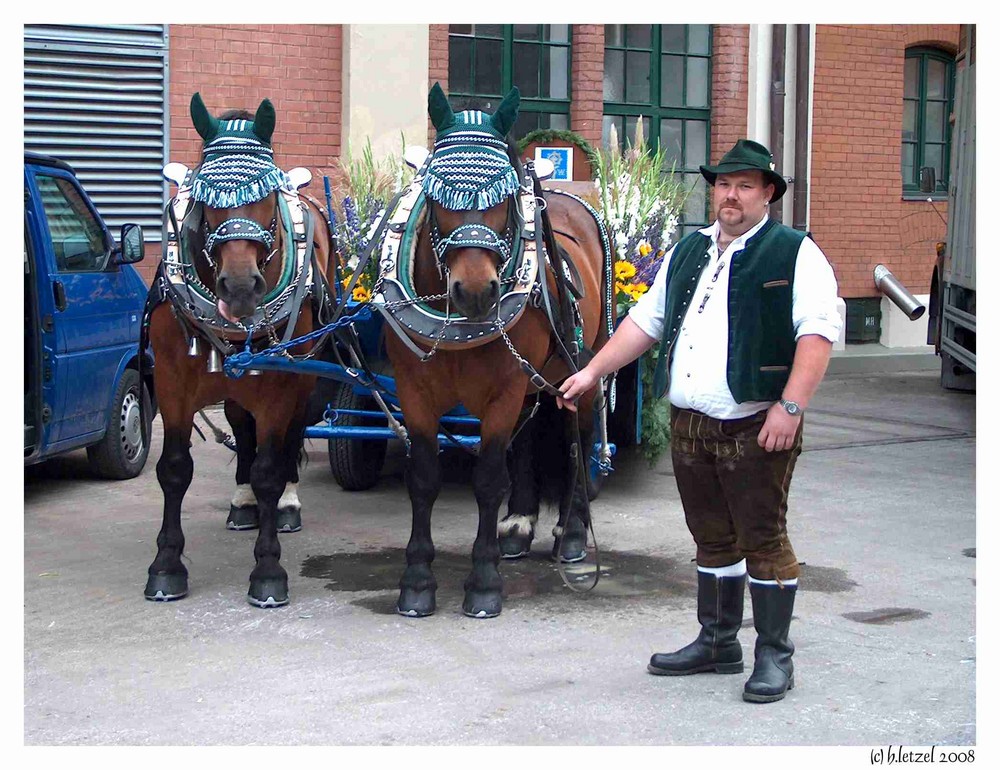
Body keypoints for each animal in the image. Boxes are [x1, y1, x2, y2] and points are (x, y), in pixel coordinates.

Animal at [145, 97, 334, 608]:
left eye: (266, 197)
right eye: (206, 199)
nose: (242, 287)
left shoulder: (279, 383)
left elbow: (270, 467)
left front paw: (267, 571)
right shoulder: (171, 383)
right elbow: (174, 469)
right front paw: (166, 566)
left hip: (304, 375)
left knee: (290, 435)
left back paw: (285, 504)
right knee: (239, 424)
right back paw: (243, 501)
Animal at [384, 84, 608, 616]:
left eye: (505, 197)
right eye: (438, 192)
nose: (475, 290)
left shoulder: (502, 391)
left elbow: (487, 477)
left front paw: (483, 582)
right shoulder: (414, 391)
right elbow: (423, 476)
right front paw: (417, 581)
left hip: (583, 369)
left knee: (579, 437)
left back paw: (572, 533)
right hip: (532, 382)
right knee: (526, 439)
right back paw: (518, 525)